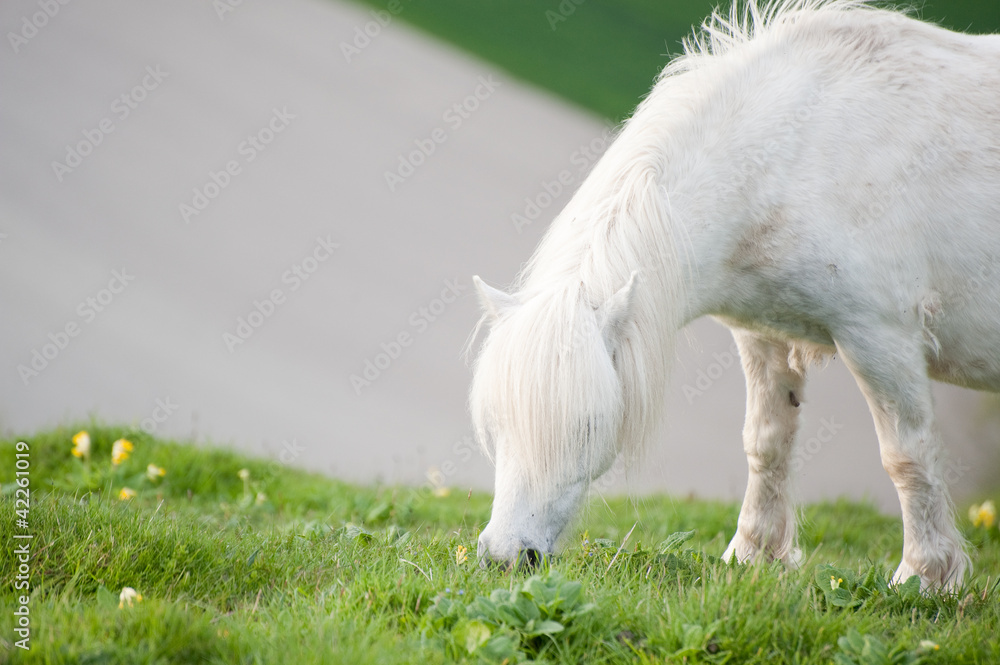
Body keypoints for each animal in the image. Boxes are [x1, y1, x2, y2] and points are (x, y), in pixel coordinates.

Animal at [469, 0, 1000, 590]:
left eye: (587, 424)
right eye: (493, 422)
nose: (506, 556)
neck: (794, 154)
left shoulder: (881, 339)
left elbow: (907, 455)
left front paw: (926, 579)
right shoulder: (763, 334)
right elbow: (766, 443)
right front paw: (753, 554)